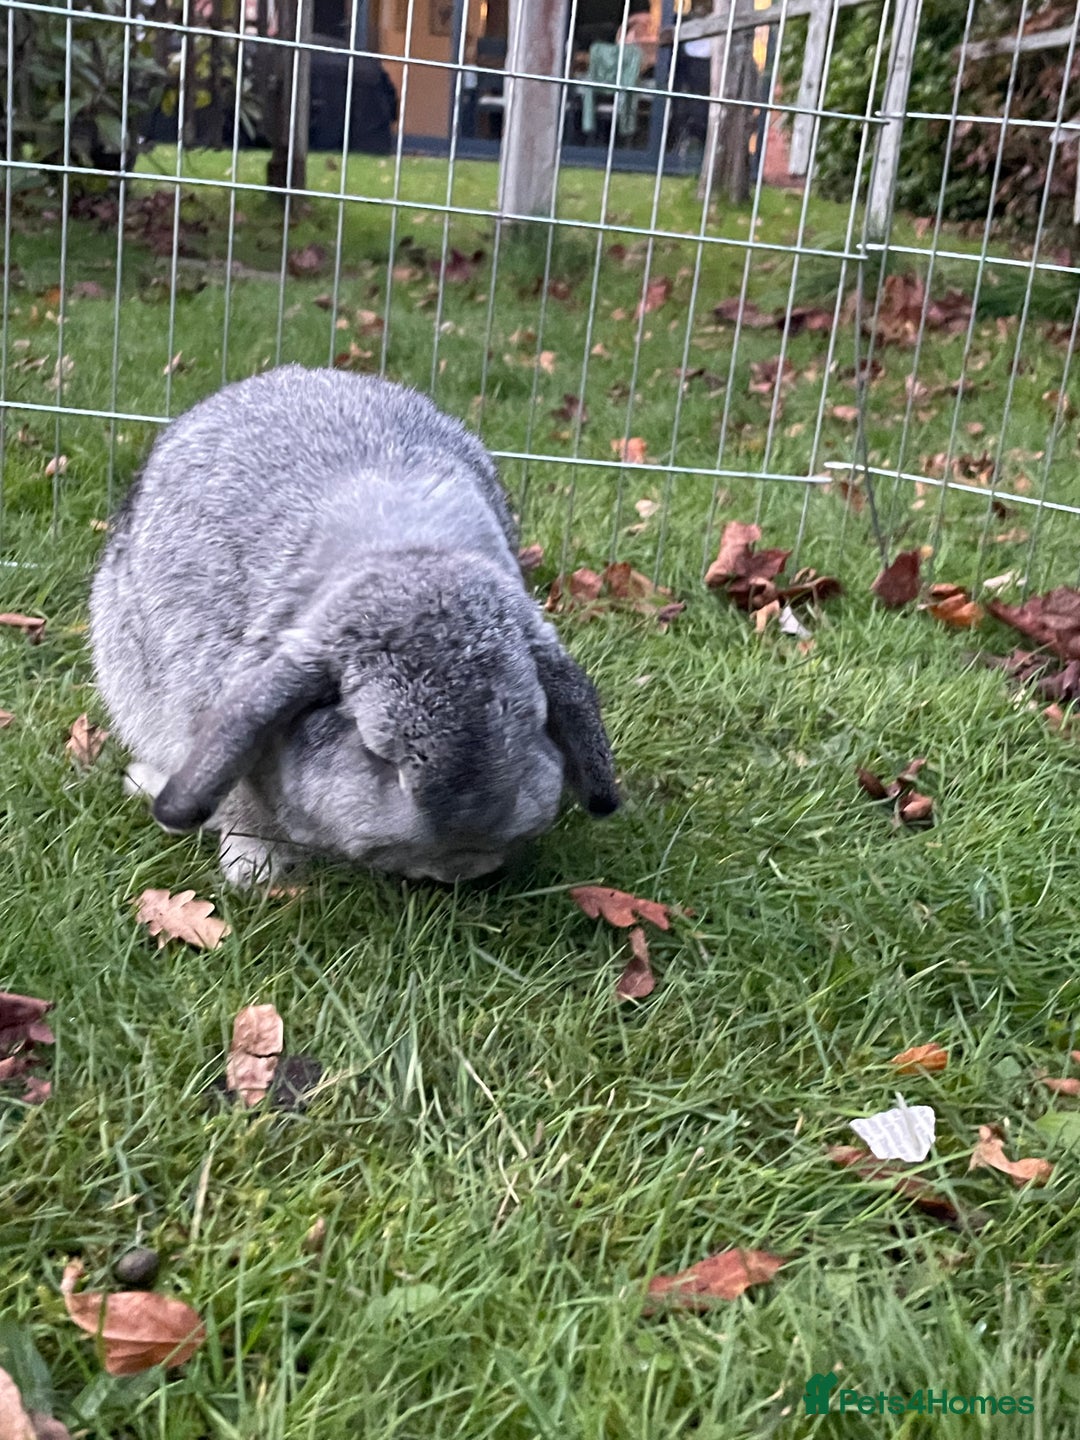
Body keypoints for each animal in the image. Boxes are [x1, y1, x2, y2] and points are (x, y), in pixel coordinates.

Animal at [89, 365, 619, 886]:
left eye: (532, 726)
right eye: (377, 752)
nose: (462, 864)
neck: (408, 558)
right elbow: (243, 802)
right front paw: (256, 869)